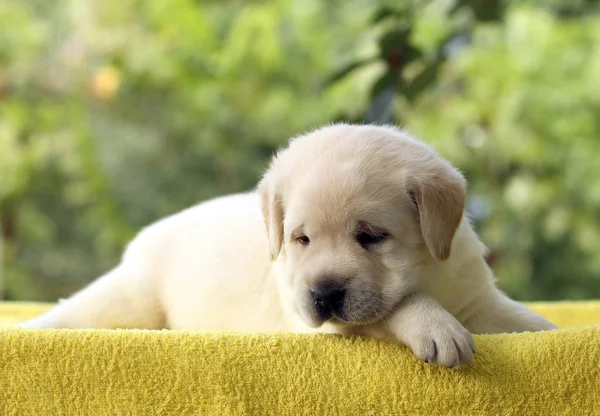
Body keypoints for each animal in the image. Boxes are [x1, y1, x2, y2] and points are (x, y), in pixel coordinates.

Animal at [23, 123, 556, 368]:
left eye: (371, 237)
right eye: (301, 239)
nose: (324, 294)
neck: (430, 271)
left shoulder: (476, 295)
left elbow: (524, 321)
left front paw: (548, 331)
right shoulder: (328, 324)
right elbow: (398, 306)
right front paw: (435, 325)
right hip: (132, 298)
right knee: (79, 310)